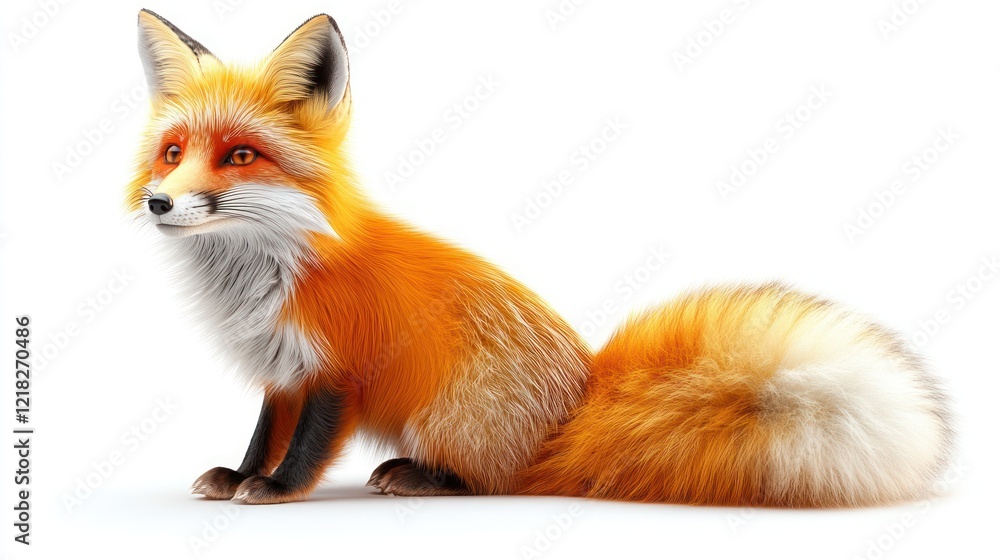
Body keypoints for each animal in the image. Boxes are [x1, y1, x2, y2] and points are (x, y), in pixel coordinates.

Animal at [127, 10, 953, 507]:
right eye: (173, 152)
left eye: (240, 155)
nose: (160, 203)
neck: (270, 272)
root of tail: (577, 406)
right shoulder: (283, 369)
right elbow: (263, 433)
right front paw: (241, 474)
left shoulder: (339, 367)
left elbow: (305, 447)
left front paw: (275, 491)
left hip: (448, 410)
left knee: (496, 481)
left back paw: (420, 476)